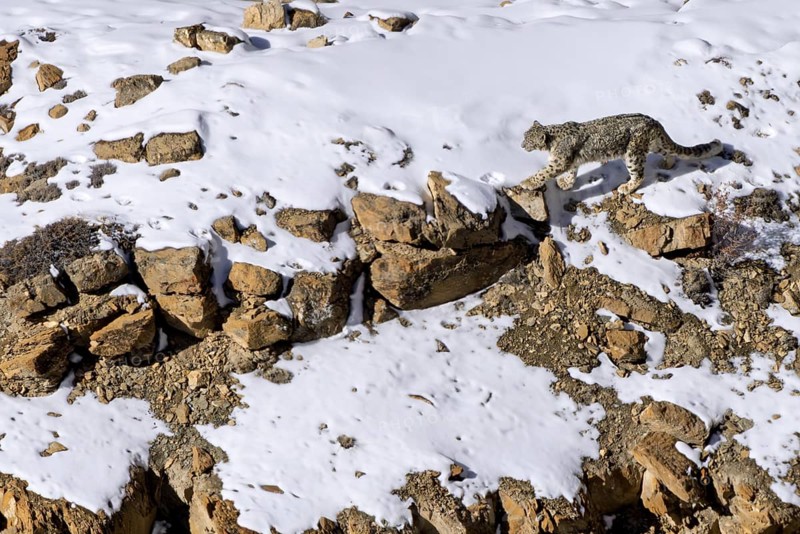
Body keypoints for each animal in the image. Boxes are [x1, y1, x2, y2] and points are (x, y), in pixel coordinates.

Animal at [518, 113, 723, 195]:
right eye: (524, 135)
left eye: (528, 139)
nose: (521, 145)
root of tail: (653, 121)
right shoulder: (571, 162)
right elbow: (572, 172)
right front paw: (566, 183)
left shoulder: (559, 162)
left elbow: (544, 172)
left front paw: (527, 182)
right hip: (655, 145)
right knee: (670, 151)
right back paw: (667, 163)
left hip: (632, 154)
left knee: (639, 175)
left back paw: (626, 187)